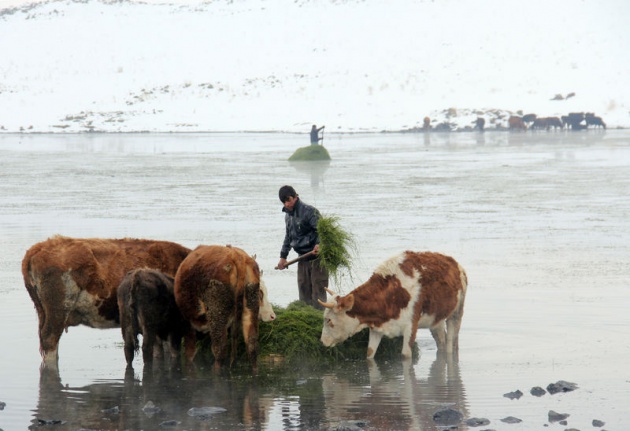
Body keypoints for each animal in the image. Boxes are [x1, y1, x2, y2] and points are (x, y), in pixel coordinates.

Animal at [320, 251, 470, 360]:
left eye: (329, 320)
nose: (322, 342)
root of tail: (455, 264)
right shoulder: (376, 329)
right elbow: (369, 354)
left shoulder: (411, 326)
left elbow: (405, 356)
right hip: (435, 320)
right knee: (441, 341)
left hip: (456, 313)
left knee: (451, 343)